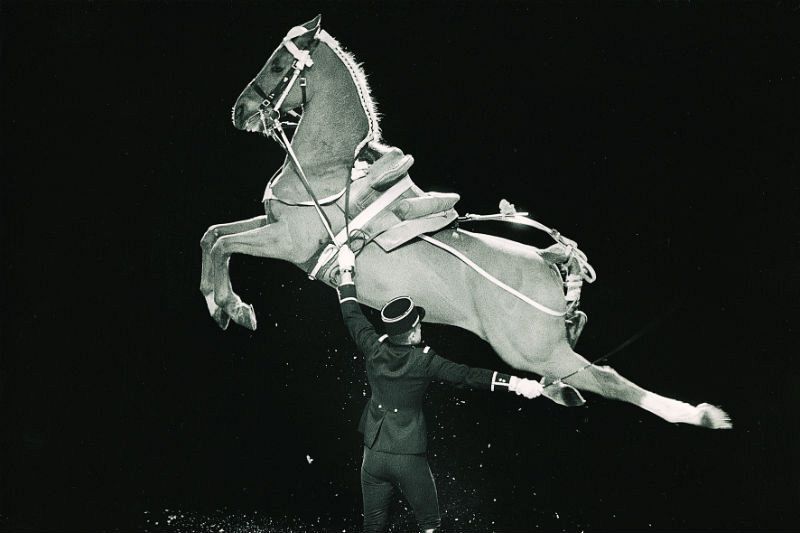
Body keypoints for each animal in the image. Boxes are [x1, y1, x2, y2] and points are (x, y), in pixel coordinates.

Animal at [198, 14, 732, 428]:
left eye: (278, 64)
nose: (240, 111)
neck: (328, 169)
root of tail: (549, 260)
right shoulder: (271, 224)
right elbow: (214, 236)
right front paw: (225, 305)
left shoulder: (286, 241)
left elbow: (223, 245)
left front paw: (228, 306)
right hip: (539, 351)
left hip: (531, 349)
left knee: (608, 378)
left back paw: (696, 414)